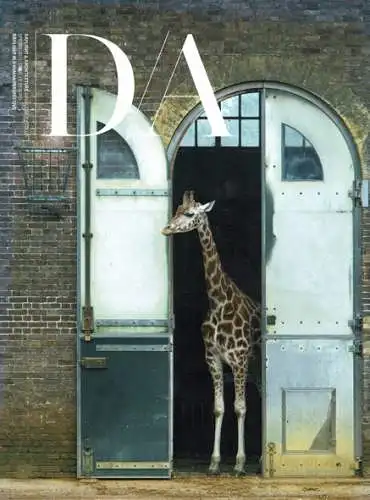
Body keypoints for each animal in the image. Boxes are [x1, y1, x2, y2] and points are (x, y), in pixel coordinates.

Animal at [161, 189, 260, 474]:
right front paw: (214, 463)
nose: (166, 229)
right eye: (176, 209)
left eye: (189, 213)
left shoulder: (238, 360)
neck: (218, 301)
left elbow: (240, 408)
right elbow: (218, 408)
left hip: (254, 363)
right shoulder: (213, 359)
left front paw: (239, 463)